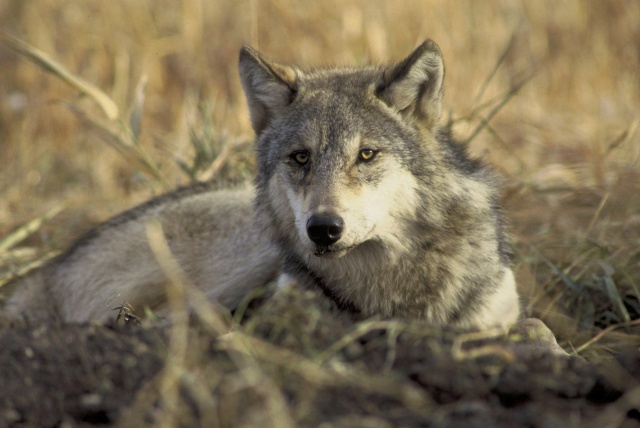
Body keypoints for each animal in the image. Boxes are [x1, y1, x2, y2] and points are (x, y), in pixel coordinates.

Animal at [3, 40, 521, 330]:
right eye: (300, 158)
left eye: (367, 155)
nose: (323, 229)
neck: (388, 288)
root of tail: (49, 270)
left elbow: (528, 328)